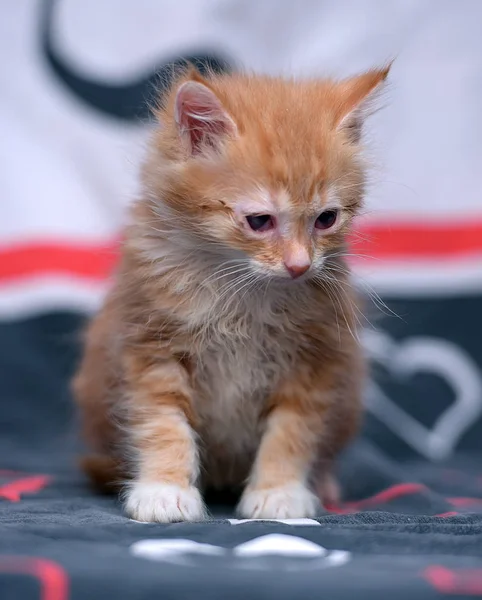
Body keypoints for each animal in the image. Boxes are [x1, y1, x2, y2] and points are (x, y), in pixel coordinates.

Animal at [72, 65, 388, 524]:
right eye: (259, 221)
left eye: (326, 219)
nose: (299, 265)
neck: (241, 292)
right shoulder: (149, 344)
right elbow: (162, 423)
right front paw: (164, 490)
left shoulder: (317, 357)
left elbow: (292, 431)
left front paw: (279, 492)